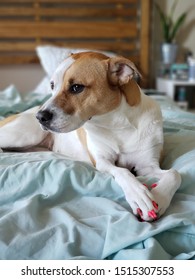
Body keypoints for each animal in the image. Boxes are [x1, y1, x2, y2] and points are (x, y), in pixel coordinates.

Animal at [0, 50, 181, 221]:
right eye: (52, 85)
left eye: (76, 87)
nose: (40, 117)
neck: (117, 124)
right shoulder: (102, 162)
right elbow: (123, 171)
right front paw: (139, 195)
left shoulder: (147, 166)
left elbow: (175, 174)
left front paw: (160, 197)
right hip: (26, 134)